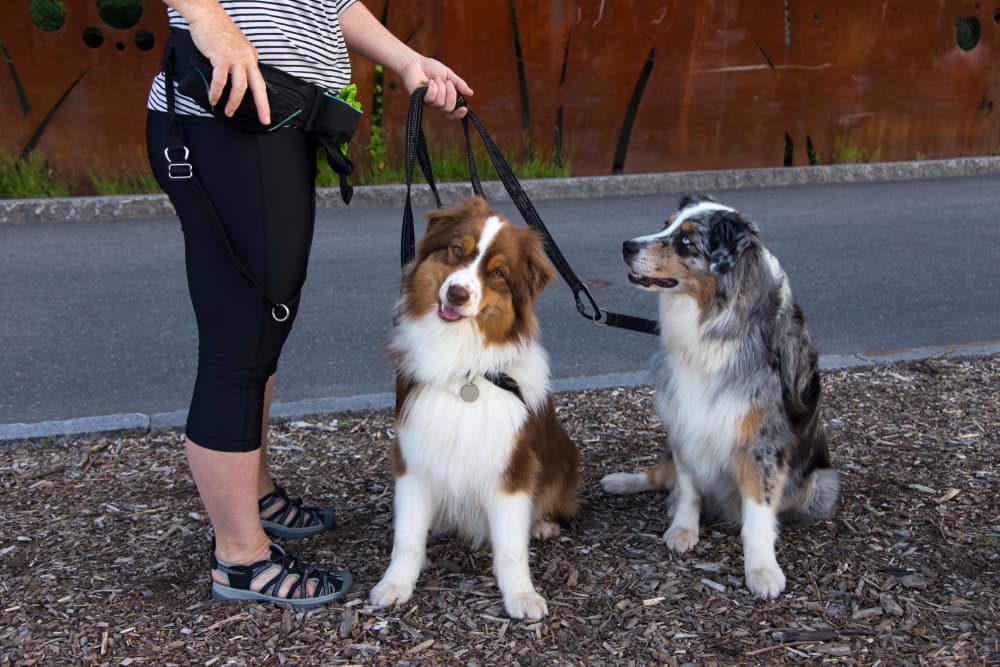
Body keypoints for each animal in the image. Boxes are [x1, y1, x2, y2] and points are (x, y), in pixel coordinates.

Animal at [372, 194, 580, 620]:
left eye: (498, 273)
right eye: (456, 250)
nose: (457, 294)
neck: (462, 366)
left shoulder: (511, 466)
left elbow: (512, 547)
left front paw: (521, 596)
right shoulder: (414, 457)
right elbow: (407, 537)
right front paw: (395, 585)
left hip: (564, 457)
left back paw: (541, 524)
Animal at [596, 193, 840, 600]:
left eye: (685, 241)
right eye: (665, 224)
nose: (626, 246)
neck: (712, 324)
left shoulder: (762, 444)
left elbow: (758, 516)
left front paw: (762, 569)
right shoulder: (685, 423)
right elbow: (688, 488)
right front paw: (682, 528)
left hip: (820, 485)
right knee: (659, 476)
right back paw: (620, 481)